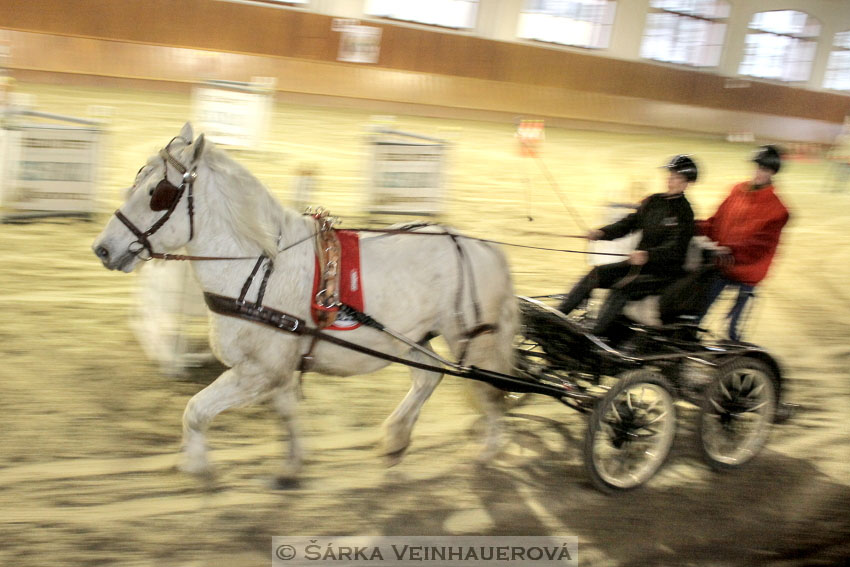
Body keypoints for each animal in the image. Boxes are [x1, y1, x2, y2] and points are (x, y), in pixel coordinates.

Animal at [93, 123, 516, 484]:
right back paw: (396, 440)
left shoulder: (259, 371)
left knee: (489, 389)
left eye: (158, 193)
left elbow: (196, 411)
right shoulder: (279, 368)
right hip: (413, 338)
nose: (103, 248)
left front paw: (198, 466)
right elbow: (286, 413)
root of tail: (481, 245)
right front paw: (292, 465)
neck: (259, 267)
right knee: (429, 378)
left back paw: (488, 450)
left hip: (472, 339)